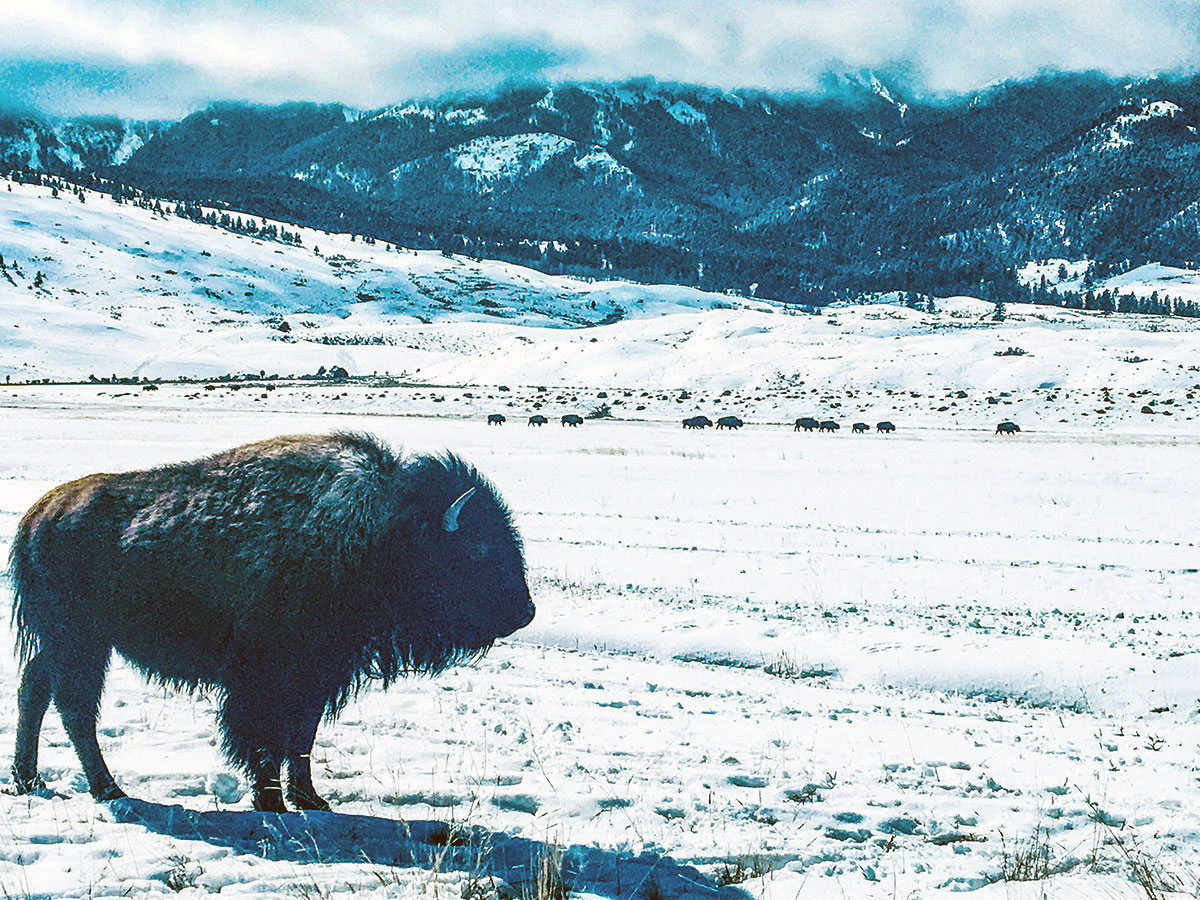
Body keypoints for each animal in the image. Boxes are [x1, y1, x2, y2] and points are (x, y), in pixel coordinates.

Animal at [10, 433, 535, 812]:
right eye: (478, 549)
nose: (525, 612)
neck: (376, 532)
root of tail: (36, 515)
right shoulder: (264, 681)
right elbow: (264, 740)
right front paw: (272, 803)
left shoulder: (320, 677)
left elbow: (301, 738)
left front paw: (311, 800)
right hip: (81, 643)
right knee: (75, 708)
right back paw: (107, 789)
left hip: (66, 643)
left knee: (35, 692)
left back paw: (29, 778)